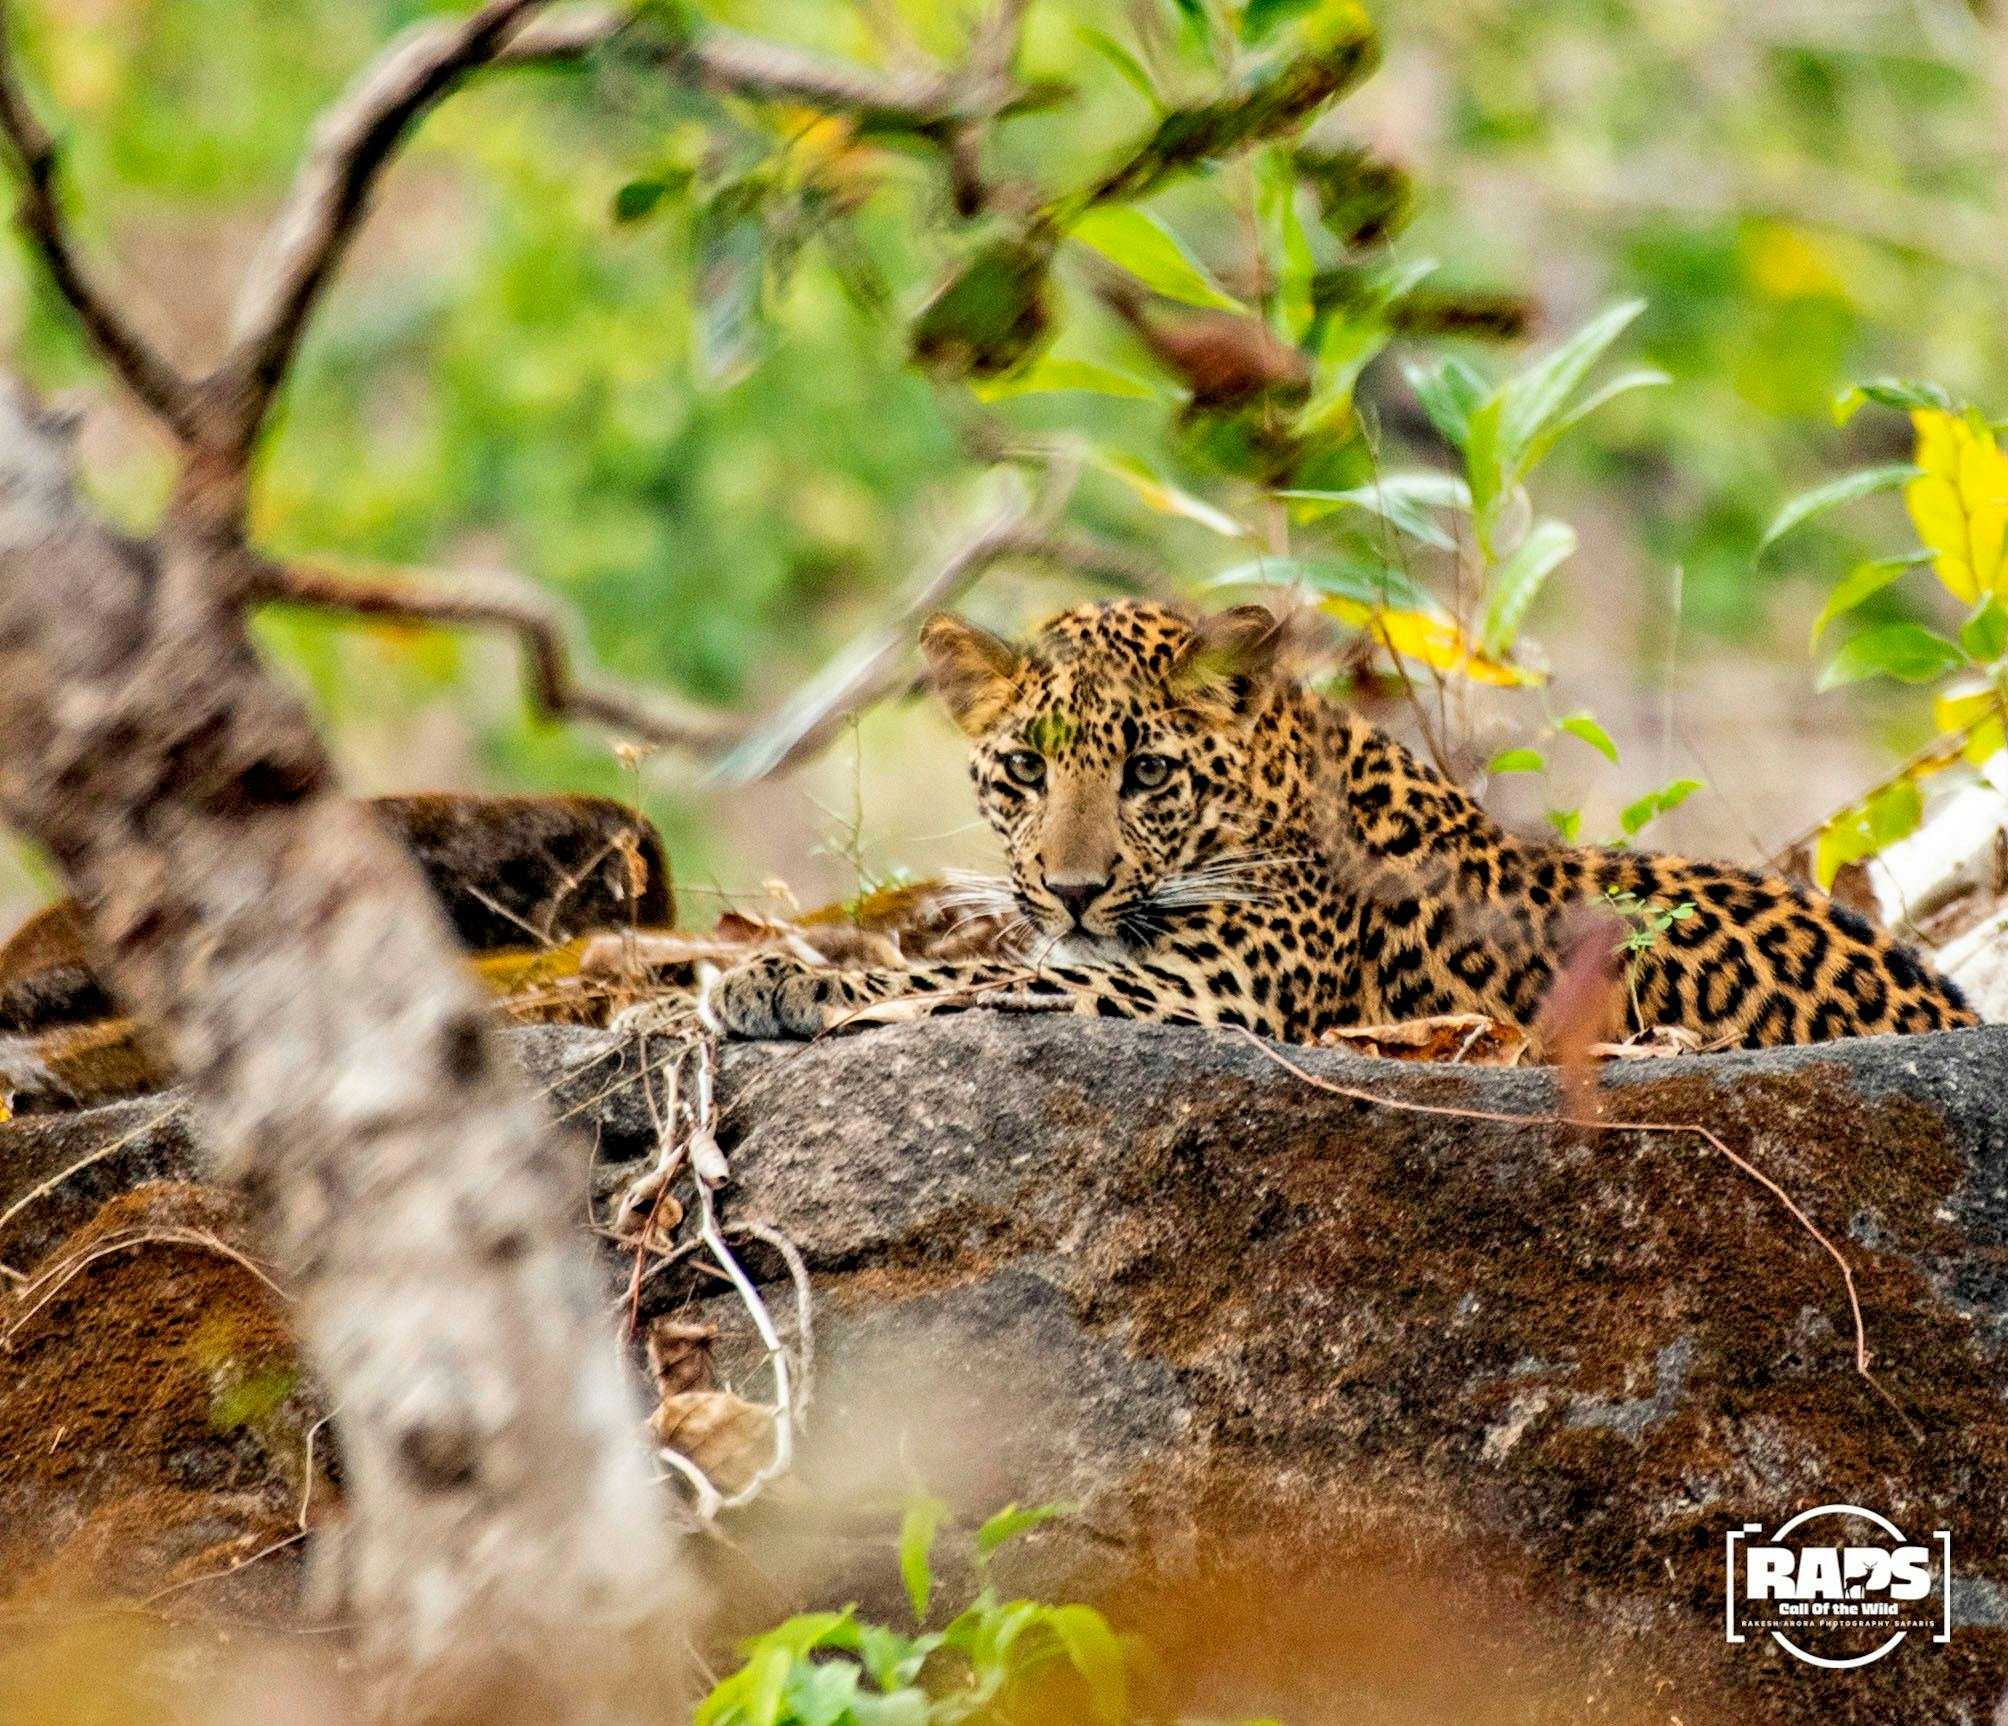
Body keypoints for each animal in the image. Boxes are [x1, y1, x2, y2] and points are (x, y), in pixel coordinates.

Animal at [701, 598, 1977, 1050]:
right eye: (1025, 766)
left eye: (1147, 771)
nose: (1069, 889)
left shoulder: (1205, 991)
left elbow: (971, 977)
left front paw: (774, 978)